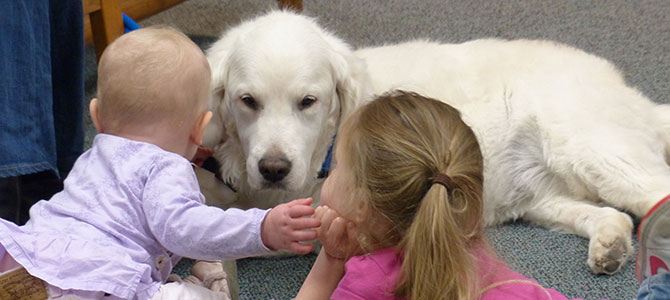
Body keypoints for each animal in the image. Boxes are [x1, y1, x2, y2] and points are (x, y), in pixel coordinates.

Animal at [201, 11, 670, 274]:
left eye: (307, 102)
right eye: (248, 101)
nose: (273, 169)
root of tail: (635, 96)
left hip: (593, 151)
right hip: (543, 198)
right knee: (613, 215)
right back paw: (610, 246)